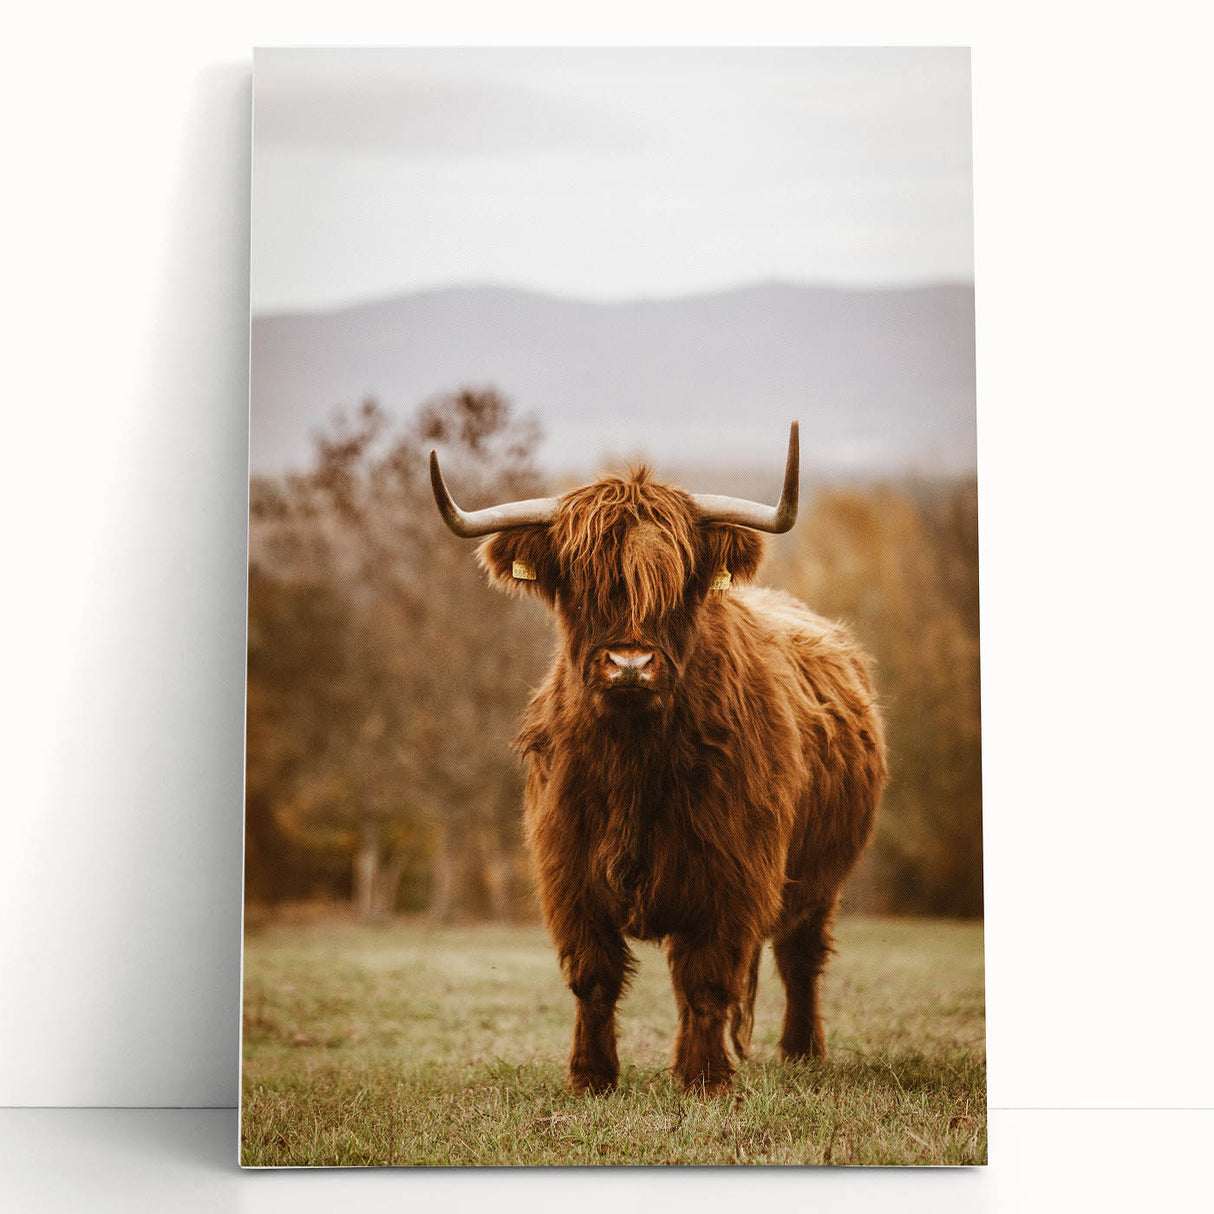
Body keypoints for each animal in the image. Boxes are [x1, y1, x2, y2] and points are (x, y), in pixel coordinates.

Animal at [429, 423, 887, 1094]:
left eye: (679, 584)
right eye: (579, 583)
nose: (629, 664)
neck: (633, 759)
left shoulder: (732, 873)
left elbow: (708, 977)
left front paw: (705, 1078)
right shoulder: (568, 870)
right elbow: (594, 978)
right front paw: (591, 1077)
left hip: (819, 876)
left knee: (798, 957)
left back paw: (802, 1052)